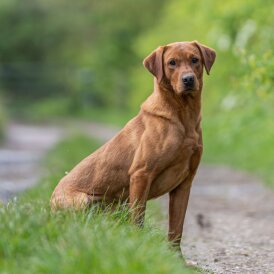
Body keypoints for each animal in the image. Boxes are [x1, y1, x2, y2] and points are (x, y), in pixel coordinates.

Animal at [50, 41, 215, 250]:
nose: (188, 80)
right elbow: (138, 220)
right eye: (172, 63)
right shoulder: (141, 174)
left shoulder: (185, 183)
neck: (184, 116)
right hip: (84, 200)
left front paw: (176, 257)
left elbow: (176, 229)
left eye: (195, 59)